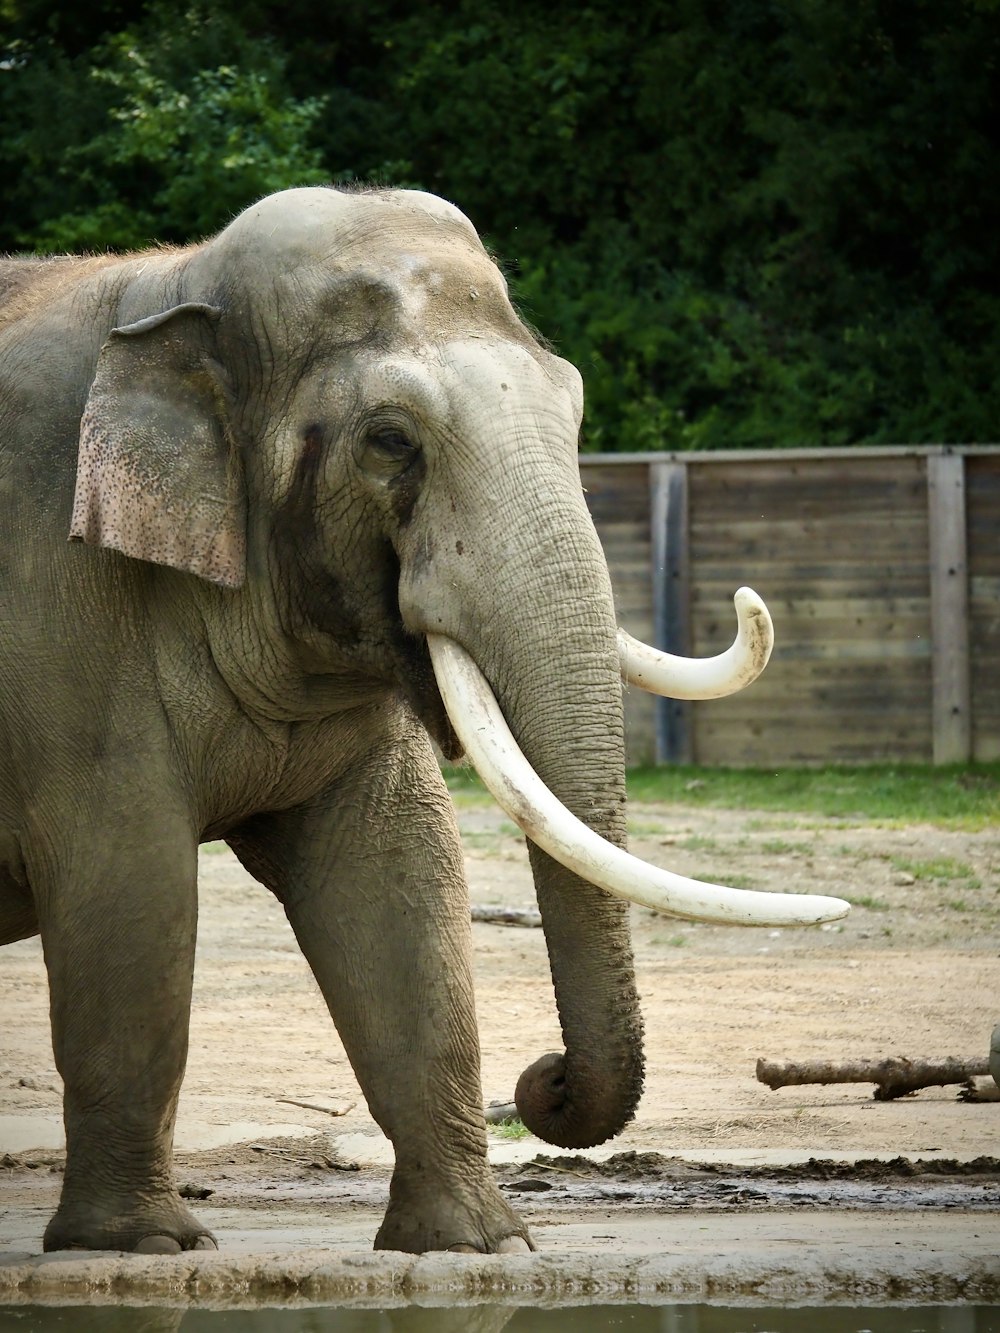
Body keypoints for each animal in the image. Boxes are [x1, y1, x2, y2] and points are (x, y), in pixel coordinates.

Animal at [0, 187, 848, 1258]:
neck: (171, 285)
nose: (545, 1079)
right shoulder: (61, 615)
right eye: (391, 440)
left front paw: (476, 1243)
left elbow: (400, 876)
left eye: (573, 407)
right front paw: (141, 1246)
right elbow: (128, 888)